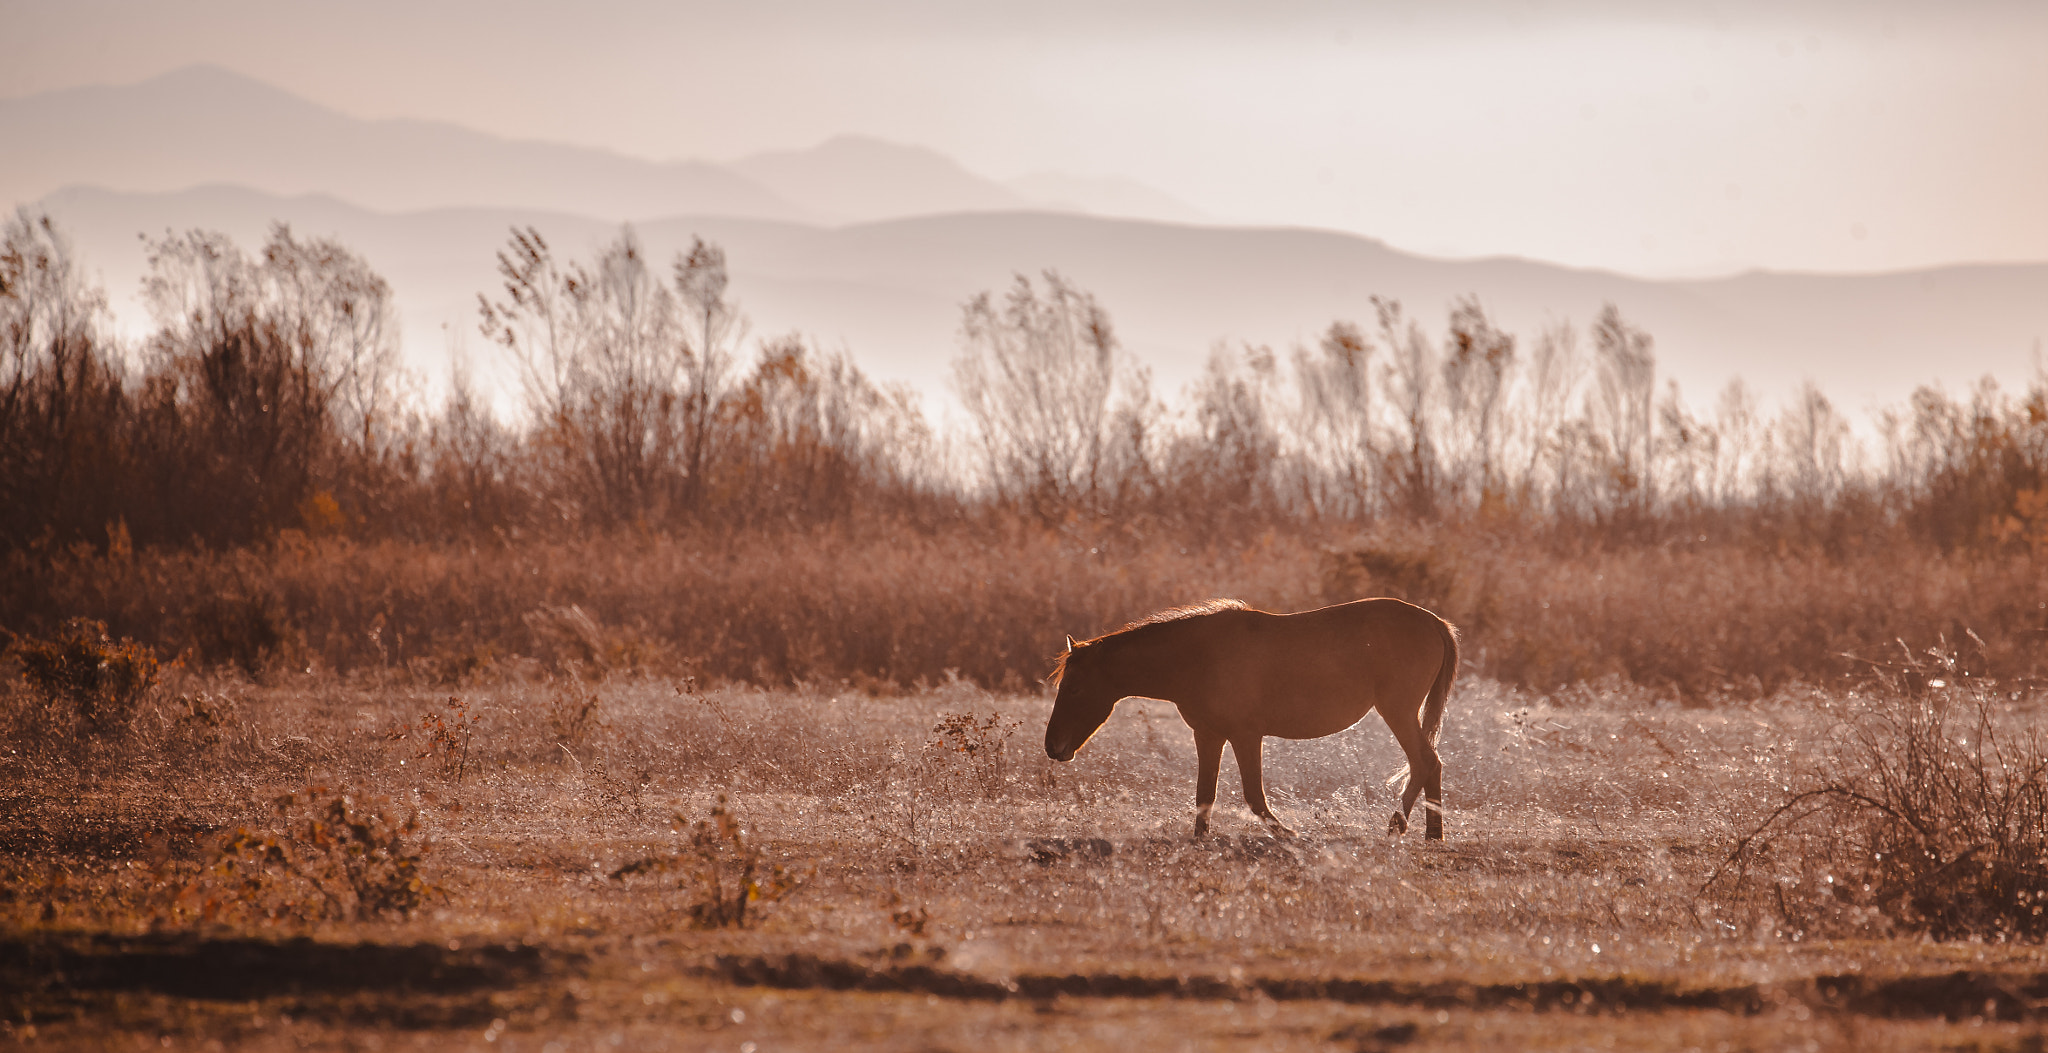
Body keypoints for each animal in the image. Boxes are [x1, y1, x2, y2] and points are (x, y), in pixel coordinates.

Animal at [1044, 597, 1458, 840]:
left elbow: (1254, 796)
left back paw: (1398, 825)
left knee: (1425, 761)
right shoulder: (1208, 735)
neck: (1197, 657)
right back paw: (1432, 834)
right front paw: (1200, 839)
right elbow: (1205, 794)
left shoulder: (1245, 736)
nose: (1052, 746)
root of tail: (1435, 621)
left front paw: (1289, 834)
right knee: (1431, 764)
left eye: (1075, 688)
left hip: (1398, 710)